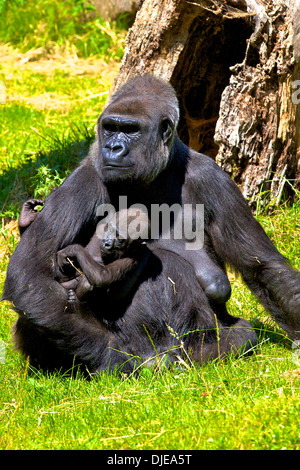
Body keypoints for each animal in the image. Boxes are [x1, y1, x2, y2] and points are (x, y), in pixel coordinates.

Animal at [2, 75, 300, 372]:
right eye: (110, 128)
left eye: (131, 130)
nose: (112, 148)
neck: (155, 174)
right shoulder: (87, 175)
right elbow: (29, 275)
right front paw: (114, 357)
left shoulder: (214, 179)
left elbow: (262, 267)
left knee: (240, 334)